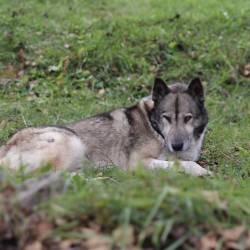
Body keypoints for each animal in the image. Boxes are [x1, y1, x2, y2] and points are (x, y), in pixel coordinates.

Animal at [0, 77, 210, 177]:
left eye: (188, 118)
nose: (176, 145)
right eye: (166, 117)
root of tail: (7, 146)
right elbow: (183, 164)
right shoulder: (138, 162)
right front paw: (202, 172)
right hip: (70, 141)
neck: (155, 128)